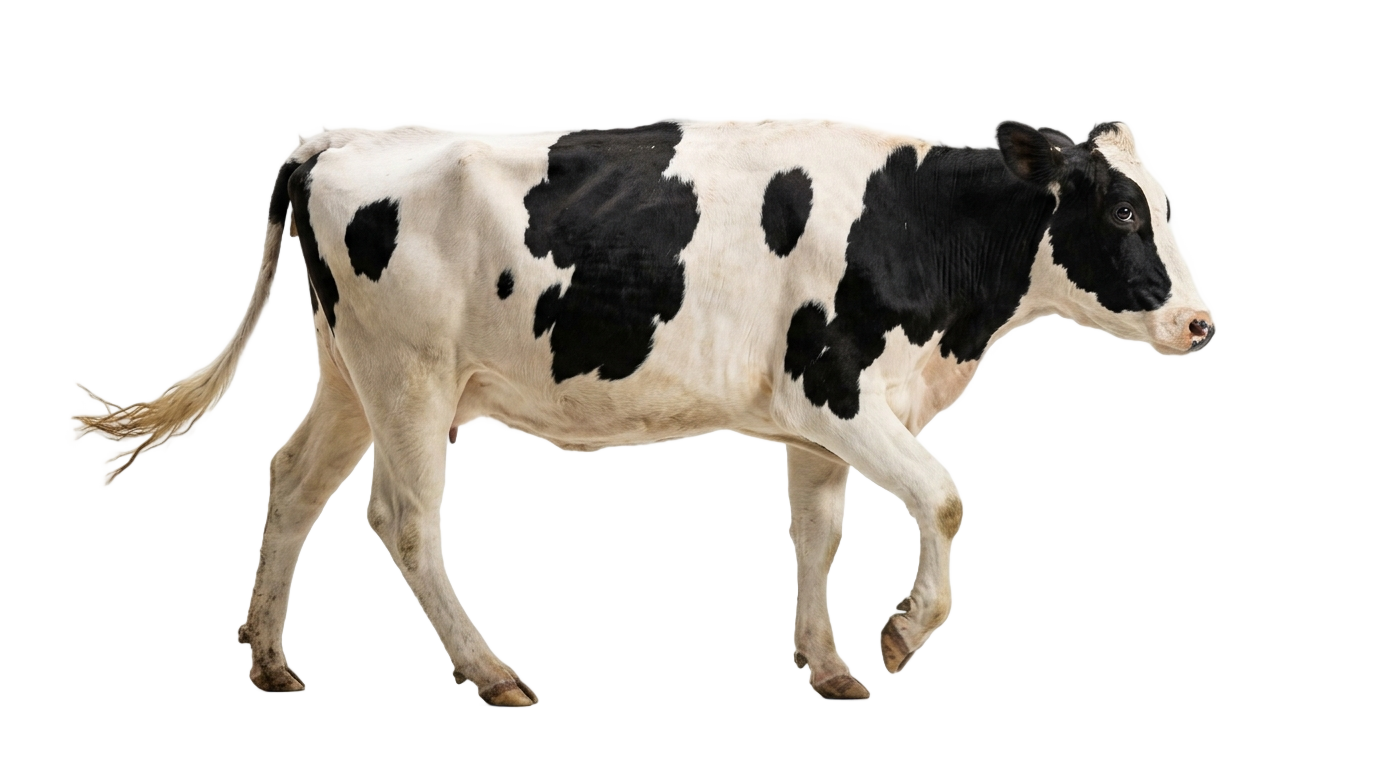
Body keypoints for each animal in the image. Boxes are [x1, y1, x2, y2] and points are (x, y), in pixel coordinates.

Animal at [78, 118, 1213, 706]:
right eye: (1121, 208)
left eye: (1158, 203)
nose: (1199, 321)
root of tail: (328, 147)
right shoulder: (835, 389)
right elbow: (940, 499)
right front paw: (899, 631)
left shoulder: (818, 420)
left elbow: (811, 535)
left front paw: (826, 665)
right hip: (409, 375)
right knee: (398, 520)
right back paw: (489, 672)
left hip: (349, 373)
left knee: (288, 488)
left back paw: (269, 659)